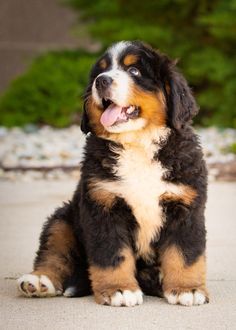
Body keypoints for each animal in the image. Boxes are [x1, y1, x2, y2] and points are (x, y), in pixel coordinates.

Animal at [17, 40, 208, 306]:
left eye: (134, 71)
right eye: (101, 71)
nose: (102, 81)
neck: (137, 143)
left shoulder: (185, 206)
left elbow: (184, 253)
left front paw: (186, 289)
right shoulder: (103, 205)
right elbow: (112, 254)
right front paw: (119, 289)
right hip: (62, 220)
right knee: (54, 253)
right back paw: (39, 281)